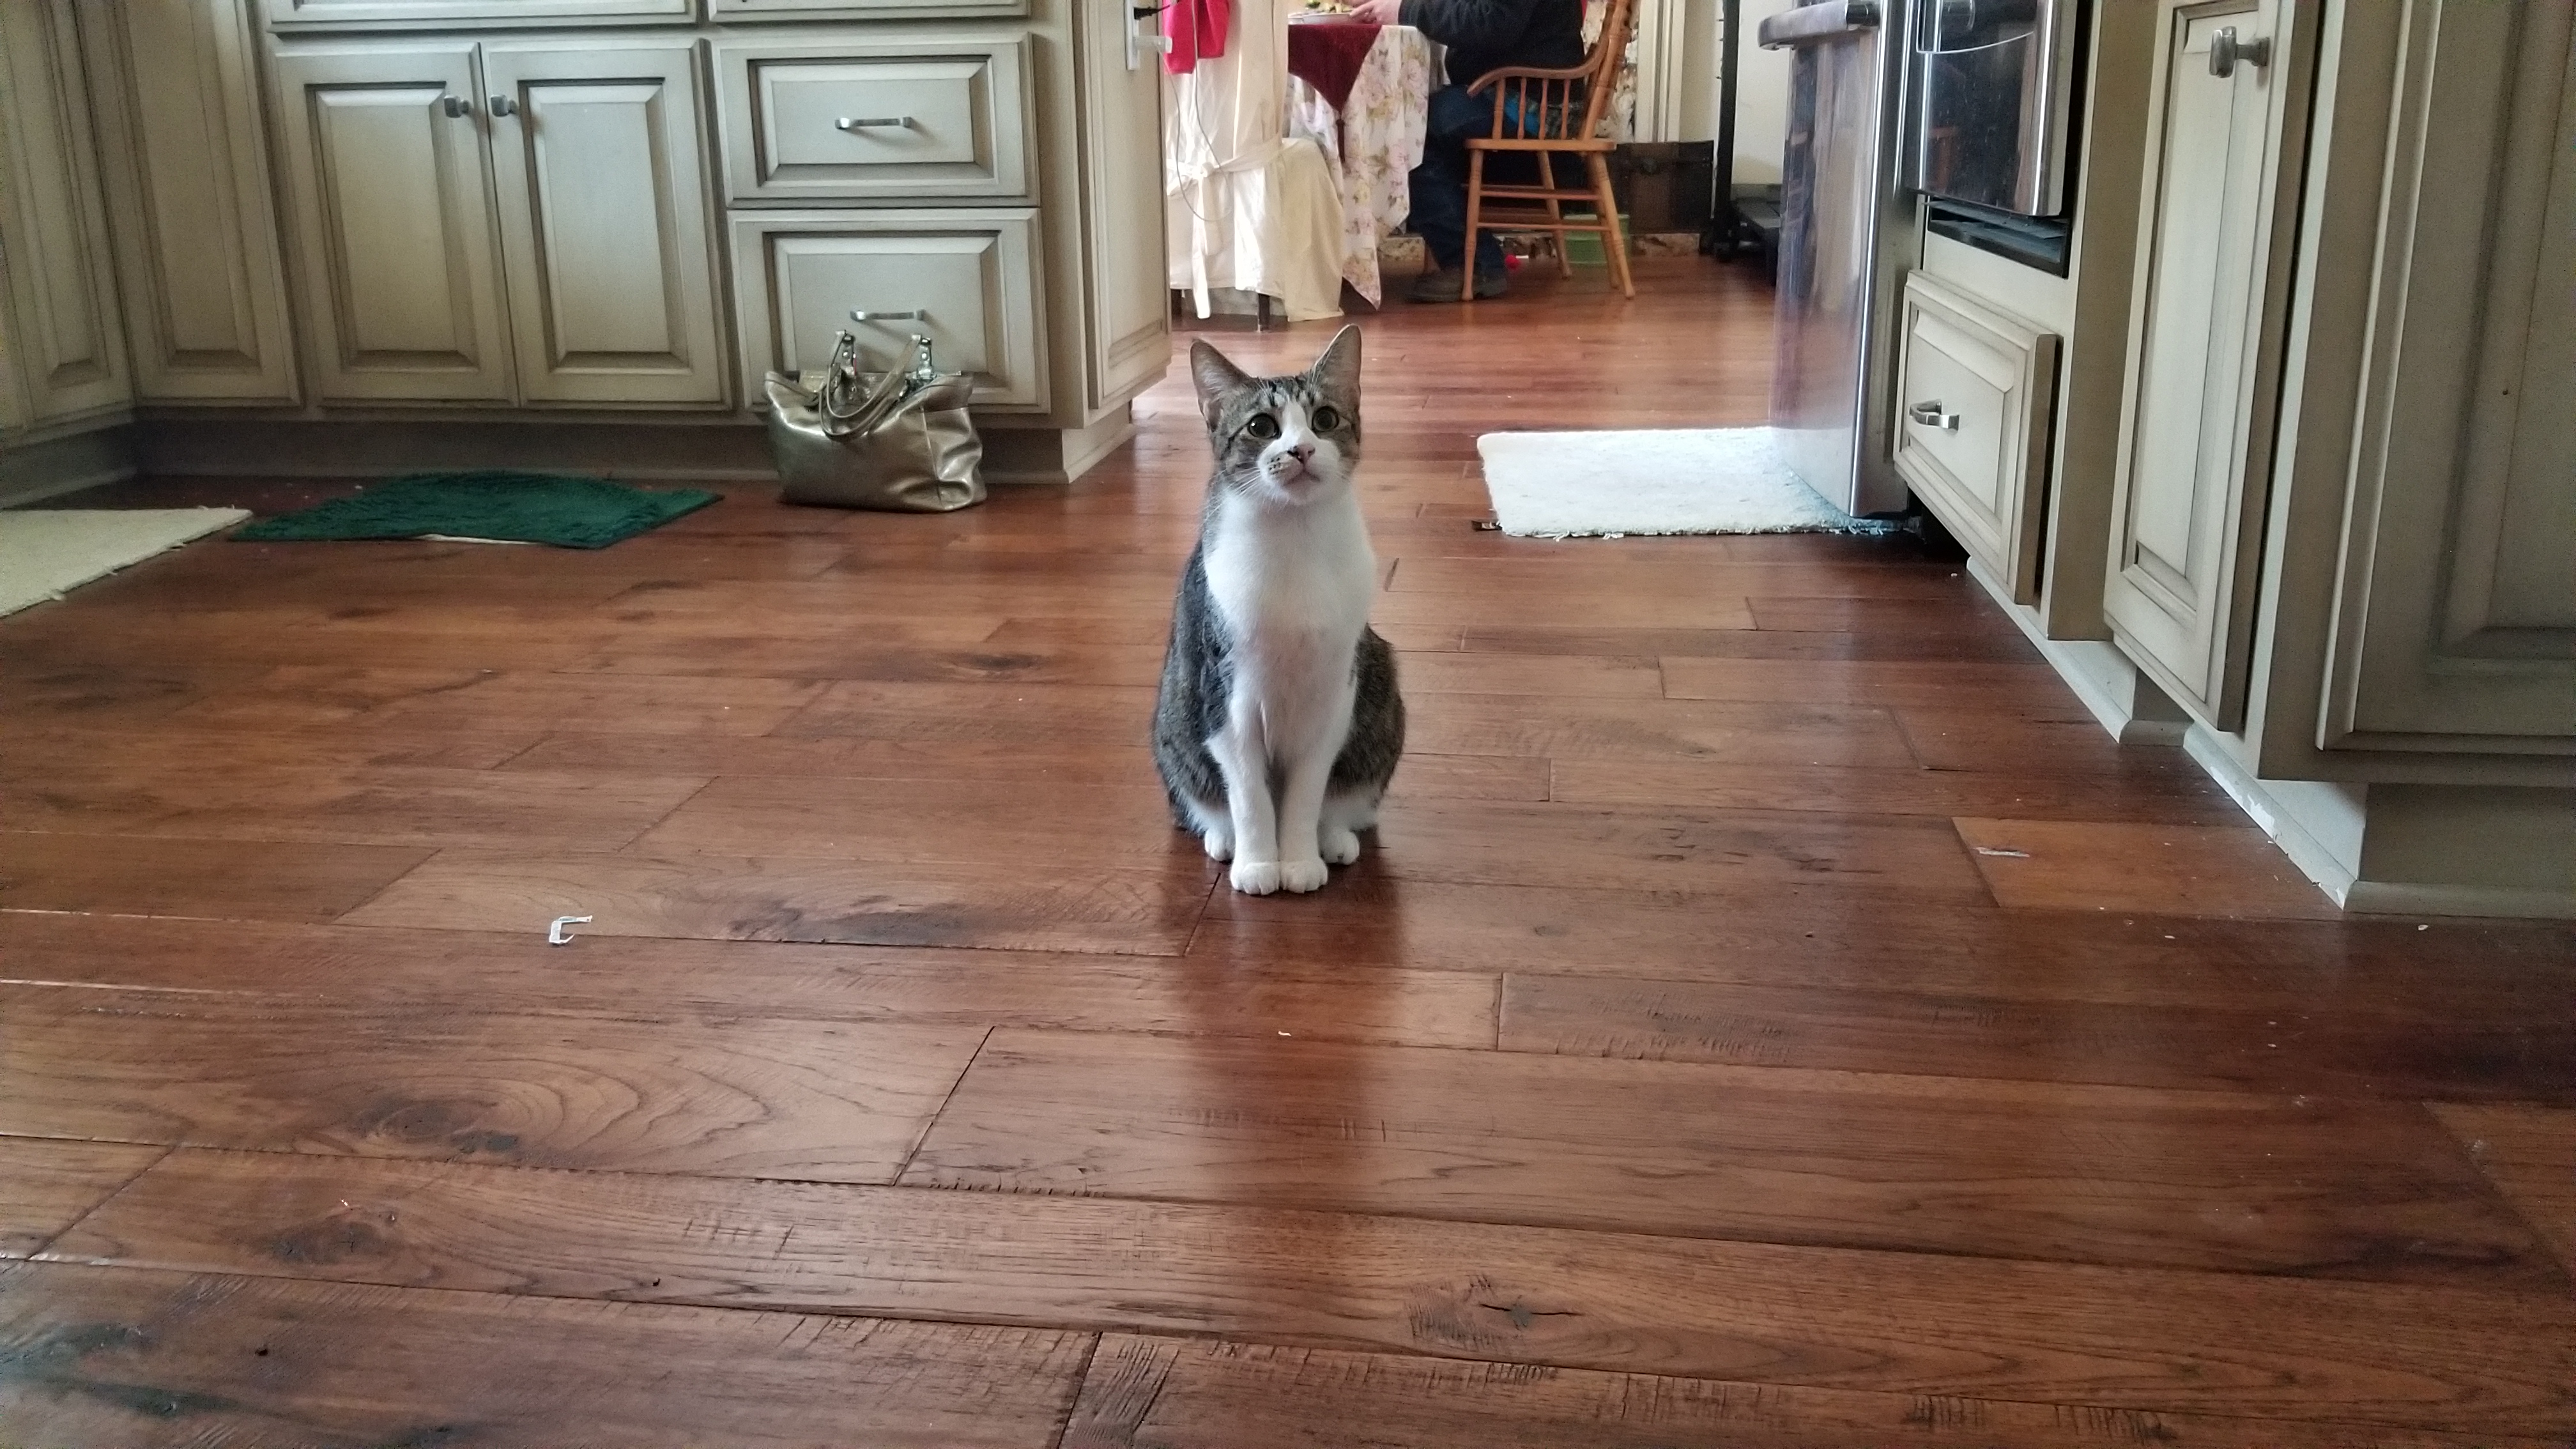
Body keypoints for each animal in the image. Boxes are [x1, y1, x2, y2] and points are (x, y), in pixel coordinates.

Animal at [1153, 325, 1404, 895]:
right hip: (1176, 717)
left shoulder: (1334, 695)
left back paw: (1334, 838)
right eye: (1261, 426)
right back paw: (1223, 838)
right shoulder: (1226, 697)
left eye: (1325, 419)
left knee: (1347, 796)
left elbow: (1307, 791)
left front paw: (1299, 859)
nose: (1302, 449)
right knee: (1205, 800)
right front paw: (1259, 864)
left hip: (1380, 685)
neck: (1296, 537)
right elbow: (1249, 796)